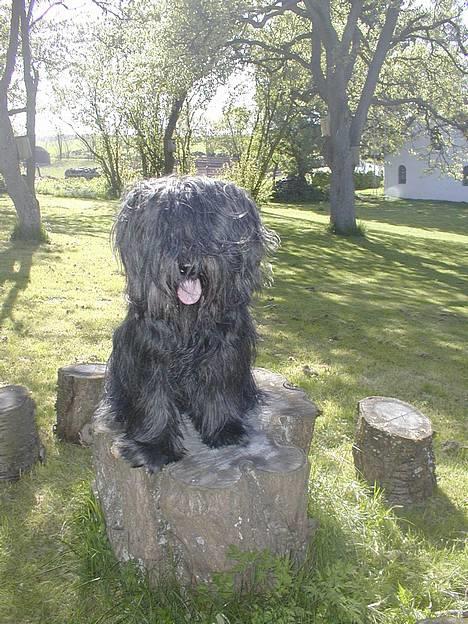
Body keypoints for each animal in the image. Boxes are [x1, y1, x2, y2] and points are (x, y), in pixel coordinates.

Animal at [96, 173, 278, 470]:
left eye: (206, 228)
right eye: (166, 229)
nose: (188, 266)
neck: (188, 319)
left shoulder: (224, 350)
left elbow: (218, 388)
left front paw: (223, 430)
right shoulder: (150, 352)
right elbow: (154, 397)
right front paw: (154, 447)